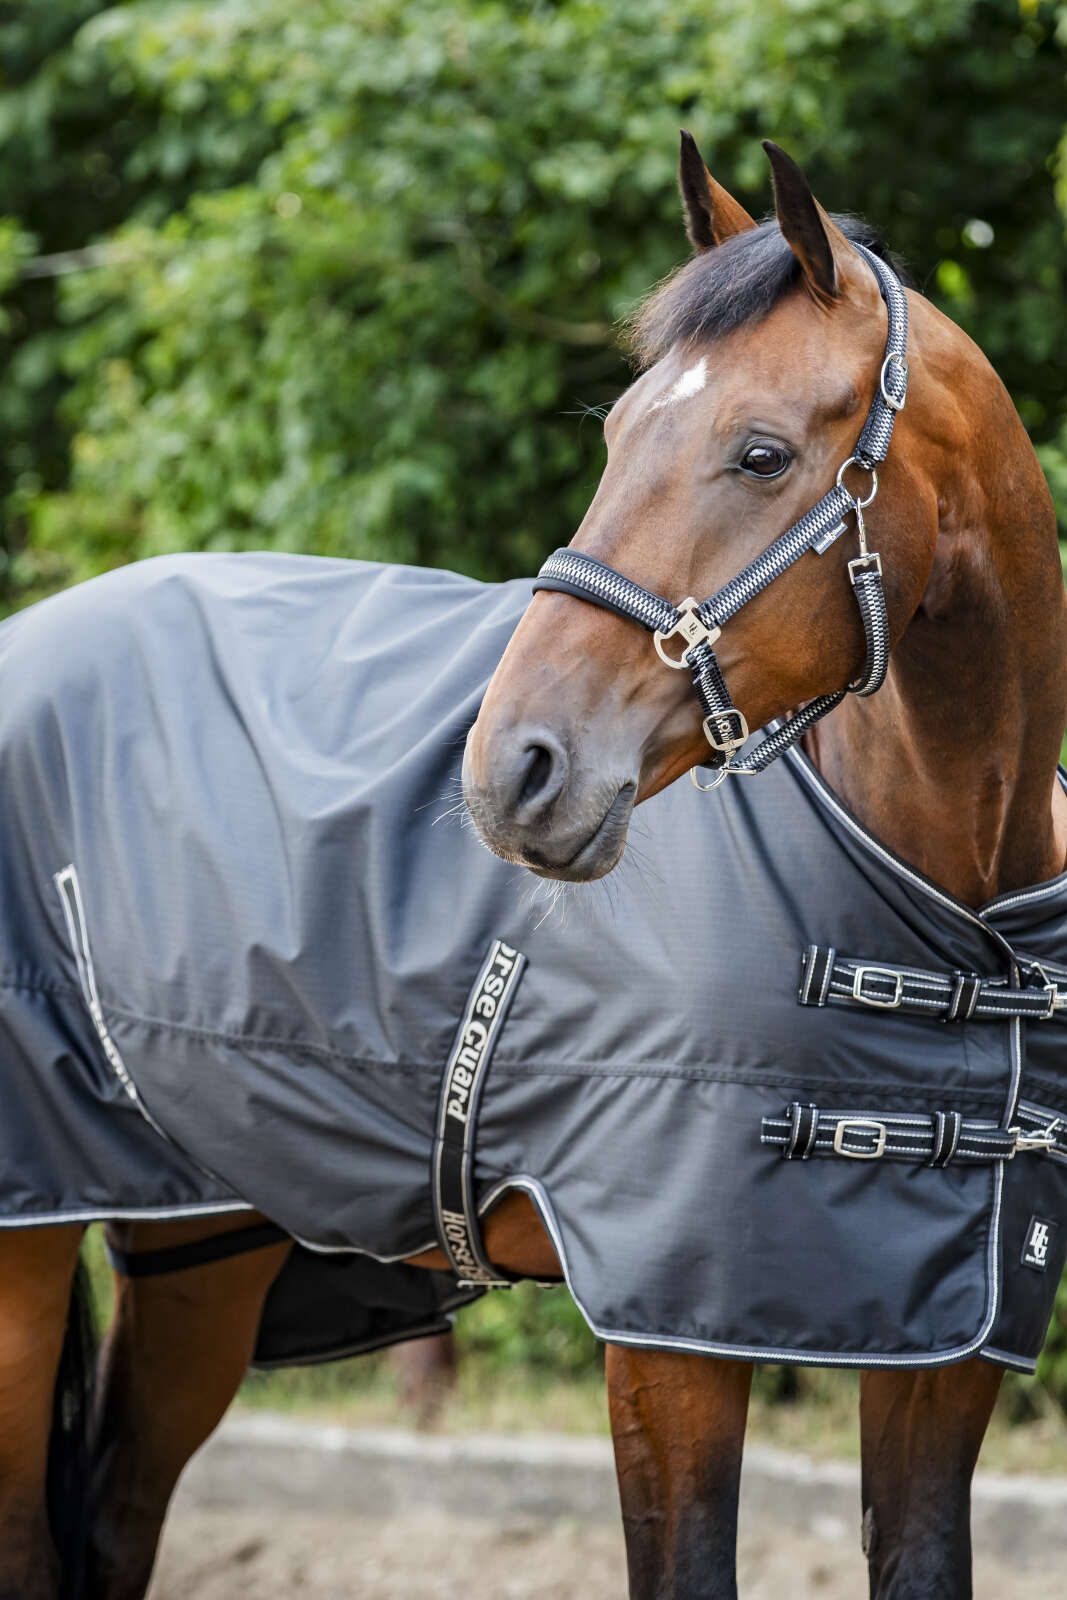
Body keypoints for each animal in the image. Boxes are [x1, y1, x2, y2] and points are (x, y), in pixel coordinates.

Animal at [0, 133, 1063, 1600]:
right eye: (614, 435)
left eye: (758, 452)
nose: (512, 769)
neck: (951, 915)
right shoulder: (666, 1342)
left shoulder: (942, 1343)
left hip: (199, 1252)